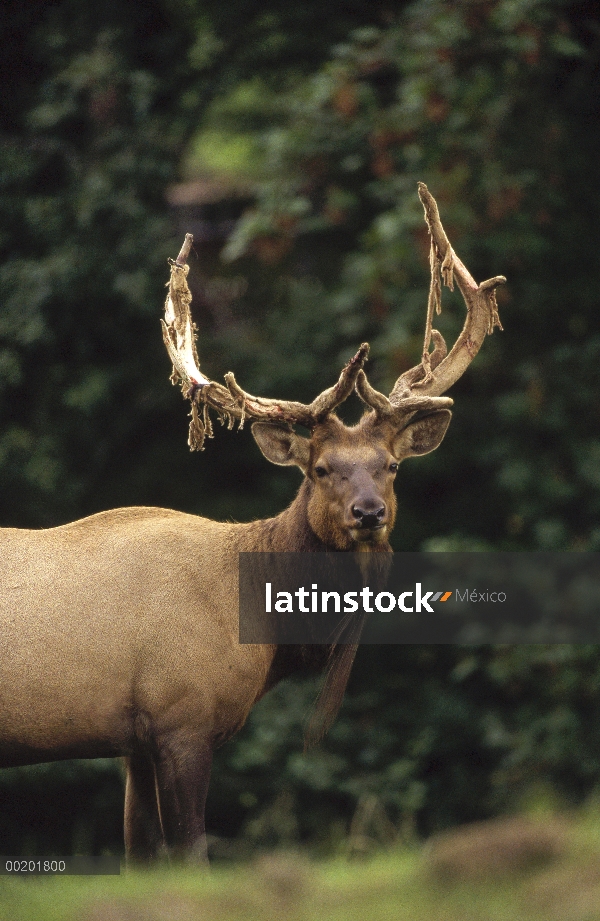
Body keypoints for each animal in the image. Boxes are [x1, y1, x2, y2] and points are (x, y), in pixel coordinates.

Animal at [1, 185, 502, 864]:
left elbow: (140, 853)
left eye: (392, 466)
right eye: (320, 469)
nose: (368, 513)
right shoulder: (182, 714)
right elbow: (192, 851)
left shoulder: (134, 742)